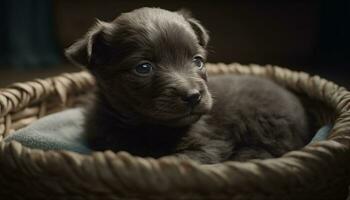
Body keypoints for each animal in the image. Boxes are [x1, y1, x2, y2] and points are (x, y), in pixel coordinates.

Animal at [65, 7, 308, 164]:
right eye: (143, 67)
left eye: (198, 61)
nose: (193, 96)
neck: (148, 127)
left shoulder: (209, 144)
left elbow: (173, 161)